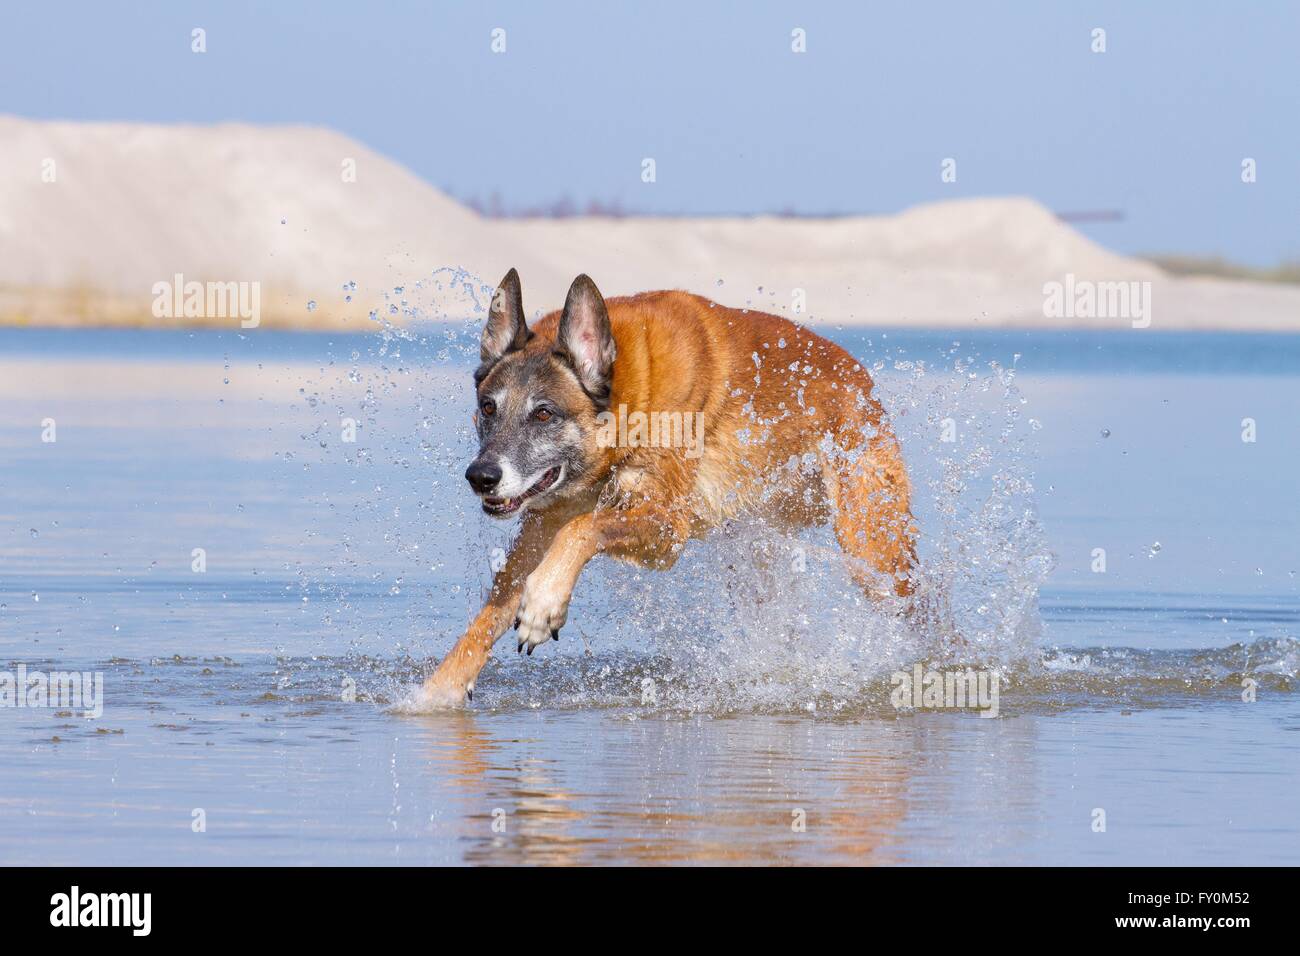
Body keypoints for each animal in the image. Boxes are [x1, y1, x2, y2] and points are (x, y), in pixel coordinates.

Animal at [423, 273, 915, 707]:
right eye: (488, 408)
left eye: (543, 413)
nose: (480, 477)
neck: (625, 406)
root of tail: (860, 378)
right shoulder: (543, 524)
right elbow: (491, 612)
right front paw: (437, 691)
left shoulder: (665, 531)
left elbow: (583, 530)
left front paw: (543, 606)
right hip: (759, 556)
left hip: (873, 552)